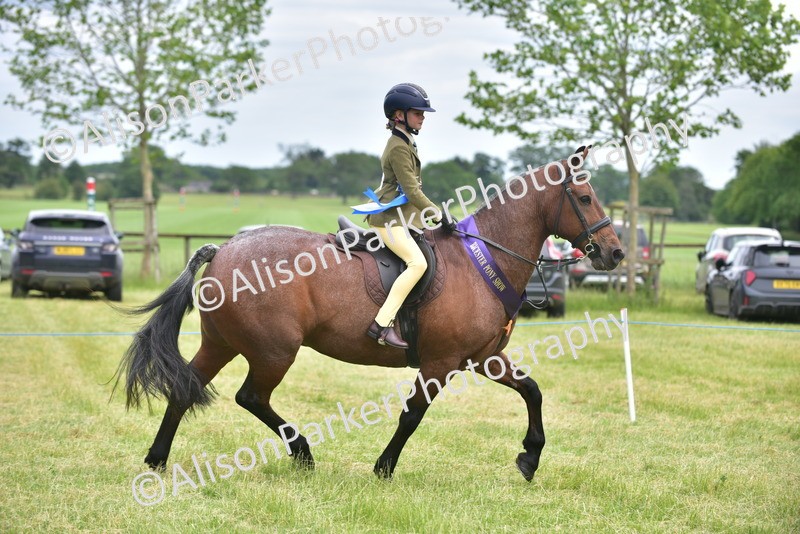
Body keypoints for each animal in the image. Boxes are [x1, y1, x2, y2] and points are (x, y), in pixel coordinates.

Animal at [116, 146, 623, 481]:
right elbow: (412, 415)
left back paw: (157, 460)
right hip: (273, 351)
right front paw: (383, 468)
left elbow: (532, 391)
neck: (484, 260)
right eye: (584, 198)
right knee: (251, 397)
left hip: (222, 343)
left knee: (186, 388)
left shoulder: (482, 357)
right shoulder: (440, 363)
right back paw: (303, 453)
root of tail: (224, 249)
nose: (614, 253)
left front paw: (529, 459)